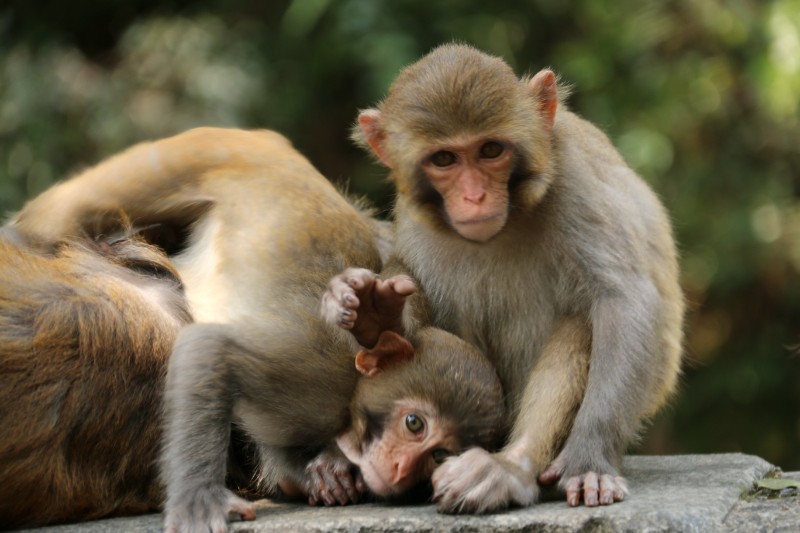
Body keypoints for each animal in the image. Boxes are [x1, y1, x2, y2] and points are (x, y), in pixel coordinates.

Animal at [322, 44, 684, 512]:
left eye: (491, 149)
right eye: (444, 159)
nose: (474, 196)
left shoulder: (577, 179)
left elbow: (622, 300)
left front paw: (590, 459)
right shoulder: (415, 218)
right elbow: (418, 309)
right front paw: (374, 315)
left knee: (582, 320)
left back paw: (509, 470)